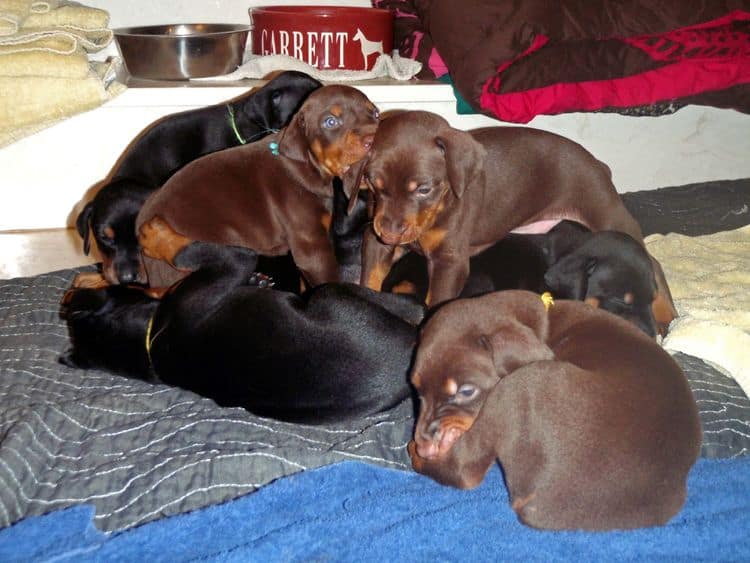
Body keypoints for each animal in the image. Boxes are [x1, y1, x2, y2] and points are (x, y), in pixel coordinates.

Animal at [61, 241, 426, 424]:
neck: (150, 343)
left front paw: (258, 280)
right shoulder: (229, 264)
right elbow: (181, 254)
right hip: (334, 294)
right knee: (416, 306)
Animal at [362, 110, 680, 334]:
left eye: (424, 189)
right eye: (373, 183)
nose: (390, 233)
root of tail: (599, 165)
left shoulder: (450, 261)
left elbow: (437, 302)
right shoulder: (375, 240)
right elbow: (370, 279)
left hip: (603, 211)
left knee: (652, 261)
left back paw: (669, 317)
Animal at [408, 290, 704, 532]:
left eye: (466, 391)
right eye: (416, 389)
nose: (425, 443)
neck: (545, 323)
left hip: (518, 384)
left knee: (466, 471)